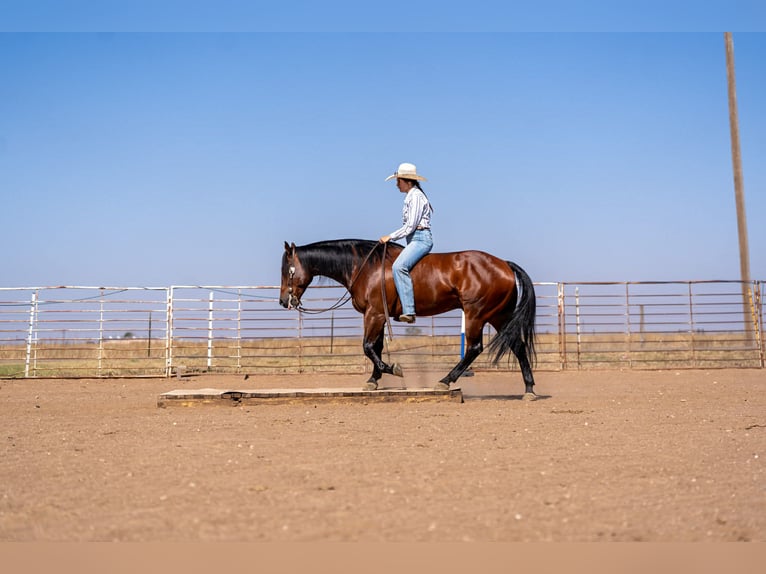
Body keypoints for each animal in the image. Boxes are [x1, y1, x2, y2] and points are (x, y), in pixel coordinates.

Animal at [279, 239, 537, 398]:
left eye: (286, 270)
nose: (283, 301)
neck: (365, 267)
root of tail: (504, 264)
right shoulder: (379, 316)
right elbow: (376, 347)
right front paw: (374, 380)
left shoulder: (374, 314)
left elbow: (368, 347)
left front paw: (394, 369)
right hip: (499, 316)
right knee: (518, 345)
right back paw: (529, 390)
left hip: (476, 315)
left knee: (475, 348)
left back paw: (445, 381)